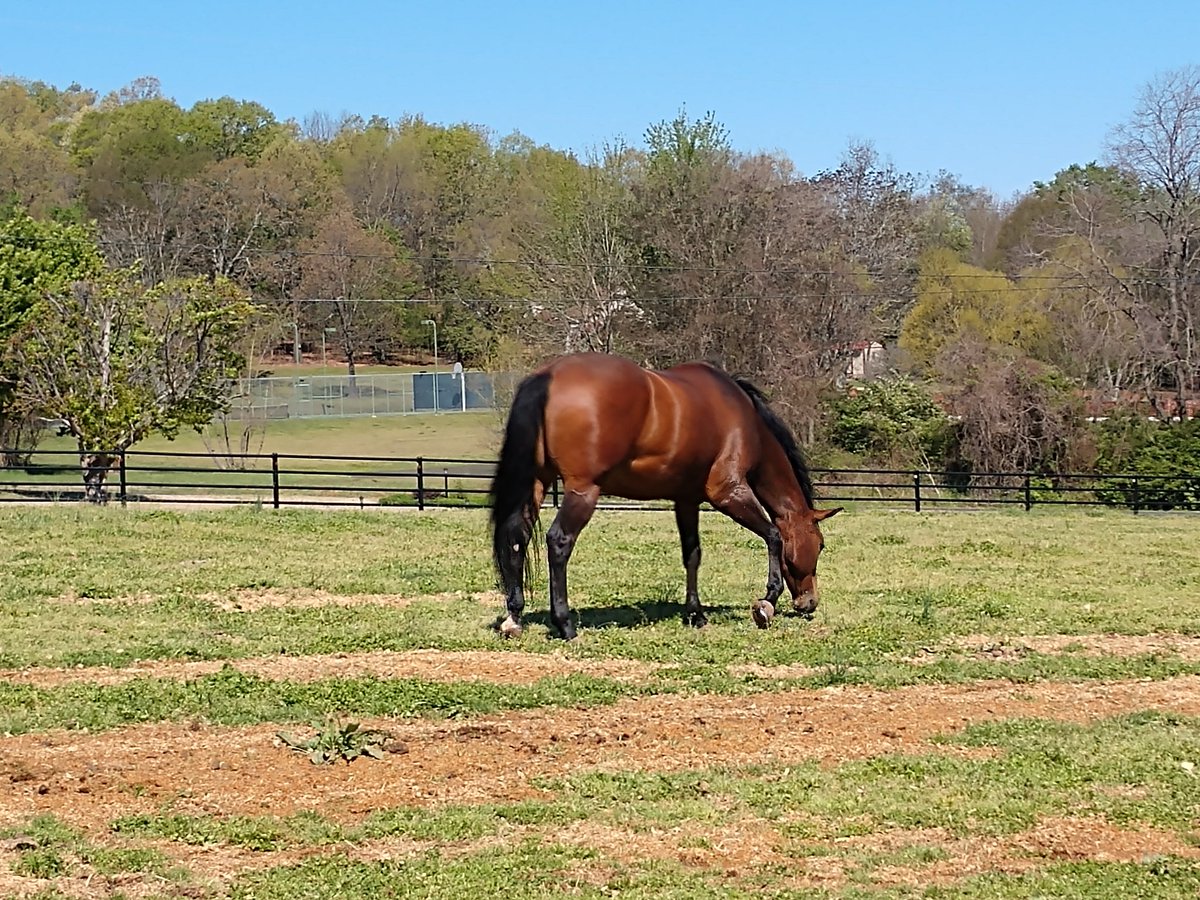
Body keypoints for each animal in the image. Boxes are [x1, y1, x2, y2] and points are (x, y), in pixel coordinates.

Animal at [488, 352, 842, 640]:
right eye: (821, 544)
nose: (809, 602)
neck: (745, 419)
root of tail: (548, 376)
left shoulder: (686, 500)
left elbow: (693, 555)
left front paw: (696, 614)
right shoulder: (729, 493)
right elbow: (773, 536)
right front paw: (766, 603)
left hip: (537, 483)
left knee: (517, 537)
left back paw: (514, 618)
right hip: (582, 491)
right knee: (559, 542)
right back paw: (565, 624)